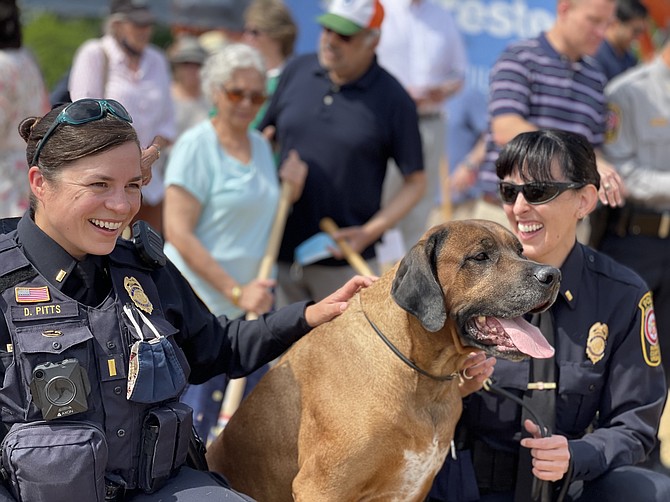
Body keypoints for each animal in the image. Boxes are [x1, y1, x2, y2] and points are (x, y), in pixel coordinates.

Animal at [206, 222, 560, 500]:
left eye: (520, 249)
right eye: (480, 257)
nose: (553, 274)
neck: (421, 376)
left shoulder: (412, 487)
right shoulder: (320, 487)